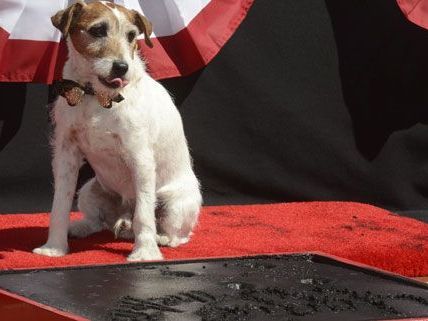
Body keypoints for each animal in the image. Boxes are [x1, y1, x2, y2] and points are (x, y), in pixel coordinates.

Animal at [31, 0, 202, 260]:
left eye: (131, 35)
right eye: (98, 30)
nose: (121, 67)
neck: (95, 95)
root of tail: (124, 215)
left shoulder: (140, 158)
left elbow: (144, 213)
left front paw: (145, 252)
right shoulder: (66, 154)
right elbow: (60, 204)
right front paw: (54, 247)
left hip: (176, 203)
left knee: (173, 231)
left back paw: (160, 238)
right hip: (89, 191)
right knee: (99, 222)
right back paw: (82, 227)